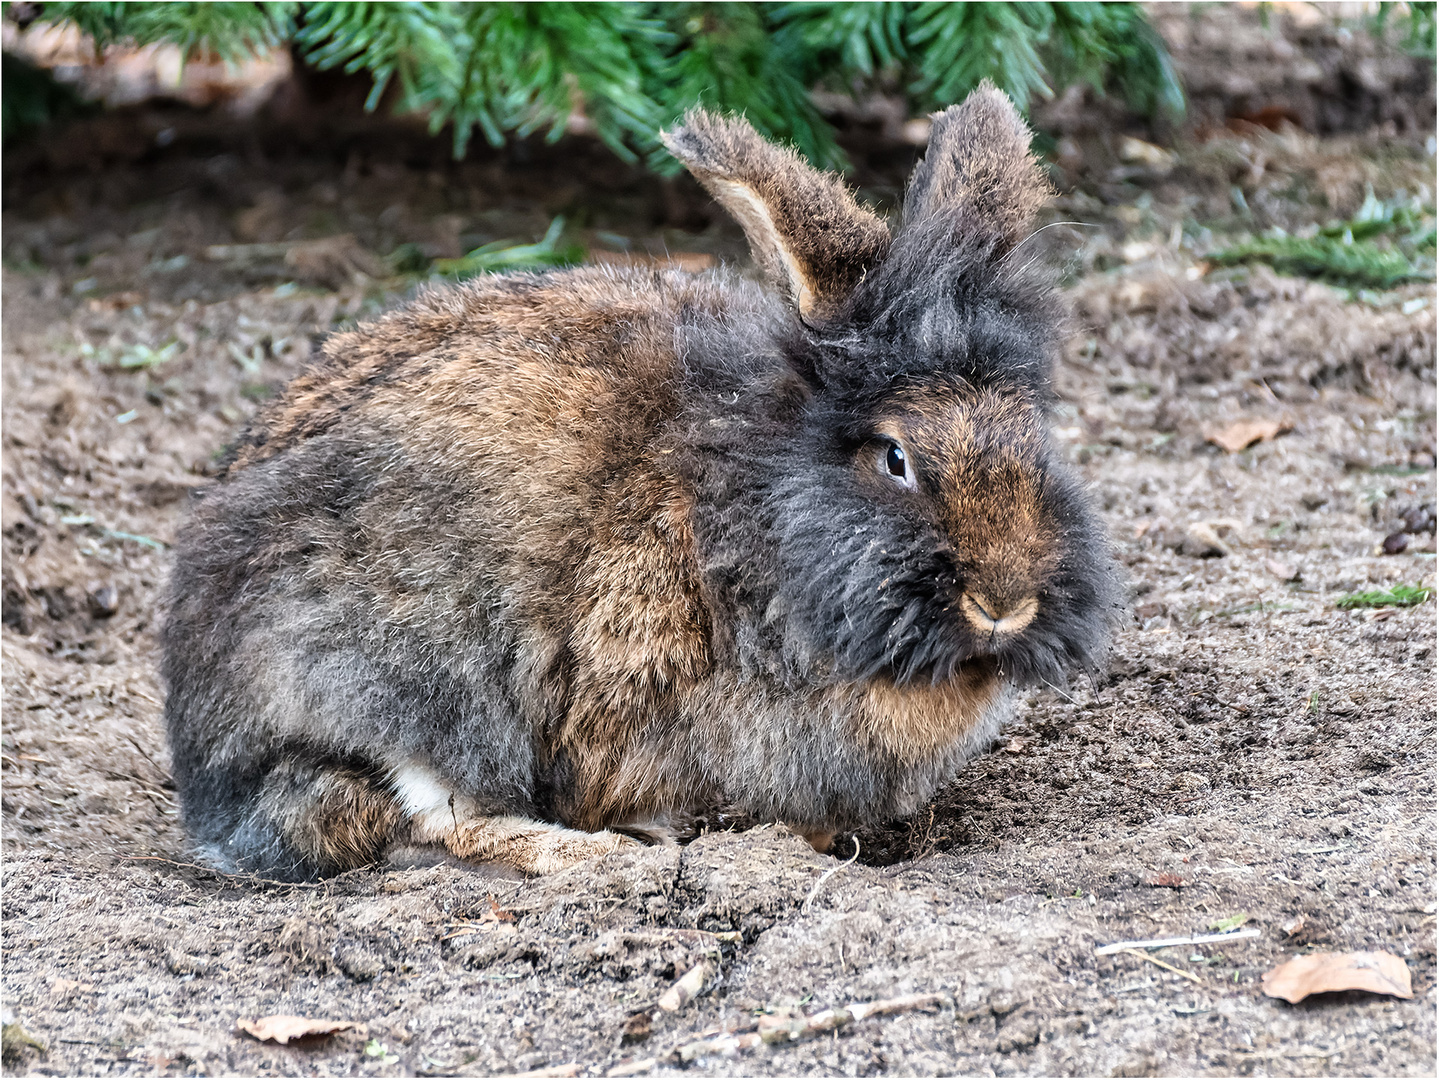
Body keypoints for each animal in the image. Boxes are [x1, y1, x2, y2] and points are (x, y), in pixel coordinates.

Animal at [163, 84, 1116, 880]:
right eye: (894, 457)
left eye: (1036, 438)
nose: (1005, 601)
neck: (749, 511)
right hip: (394, 678)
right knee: (426, 815)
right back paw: (599, 856)